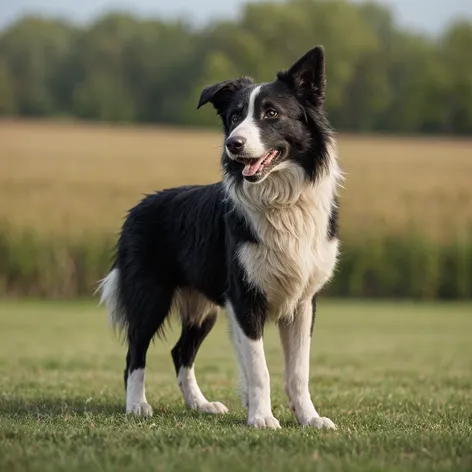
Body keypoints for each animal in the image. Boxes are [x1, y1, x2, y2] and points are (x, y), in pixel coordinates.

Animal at [99, 46, 342, 430]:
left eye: (271, 113)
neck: (282, 201)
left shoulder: (303, 302)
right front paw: (262, 418)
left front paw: (310, 418)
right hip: (151, 296)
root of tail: (138, 206)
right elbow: (259, 369)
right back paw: (137, 405)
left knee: (180, 351)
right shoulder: (245, 299)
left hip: (204, 307)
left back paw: (200, 404)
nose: (233, 144)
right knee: (134, 352)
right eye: (234, 116)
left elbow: (298, 371)